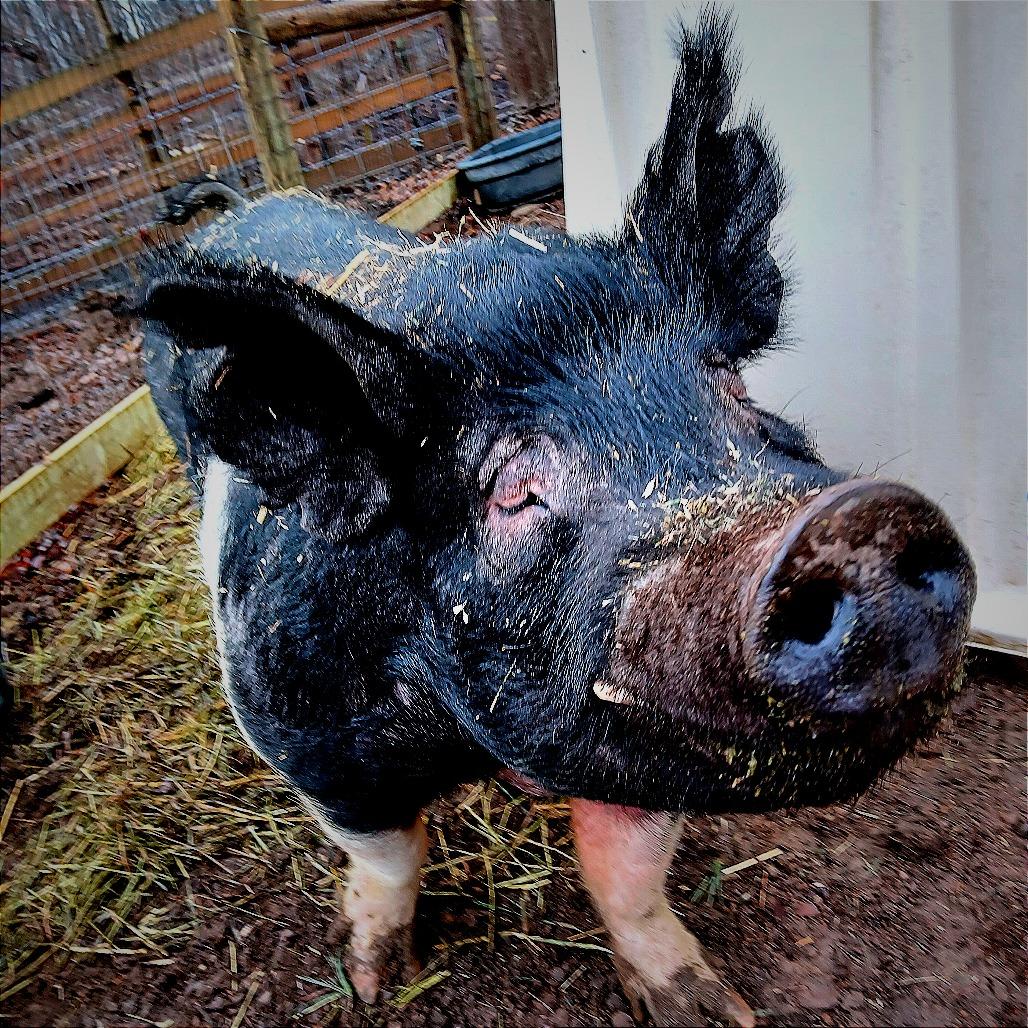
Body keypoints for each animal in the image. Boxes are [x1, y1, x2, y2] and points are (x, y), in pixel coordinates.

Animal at [139, 11, 976, 1026]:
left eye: (732, 389)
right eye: (511, 489)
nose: (857, 525)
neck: (465, 740)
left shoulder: (641, 740)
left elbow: (626, 873)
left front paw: (710, 1007)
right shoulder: (305, 738)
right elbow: (388, 858)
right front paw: (377, 981)